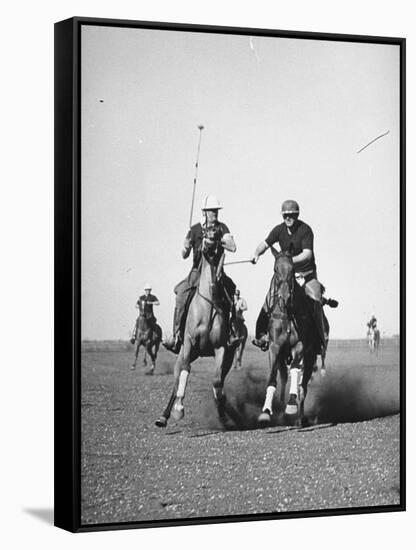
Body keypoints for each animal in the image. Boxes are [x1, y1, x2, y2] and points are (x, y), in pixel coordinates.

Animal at [154, 231, 236, 430]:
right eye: (205, 233)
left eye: (217, 235)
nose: (208, 243)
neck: (207, 305)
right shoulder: (190, 342)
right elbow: (185, 371)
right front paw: (179, 410)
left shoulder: (221, 348)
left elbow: (217, 381)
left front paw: (223, 415)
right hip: (185, 352)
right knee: (176, 381)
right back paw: (164, 416)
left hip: (227, 358)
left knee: (220, 381)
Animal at [256, 248, 322, 430]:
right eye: (275, 269)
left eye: (293, 271)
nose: (284, 297)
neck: (287, 313)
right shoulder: (274, 347)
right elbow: (273, 379)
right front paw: (266, 412)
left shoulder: (300, 346)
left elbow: (295, 372)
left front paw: (291, 406)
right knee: (284, 378)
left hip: (310, 357)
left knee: (303, 387)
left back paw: (300, 418)